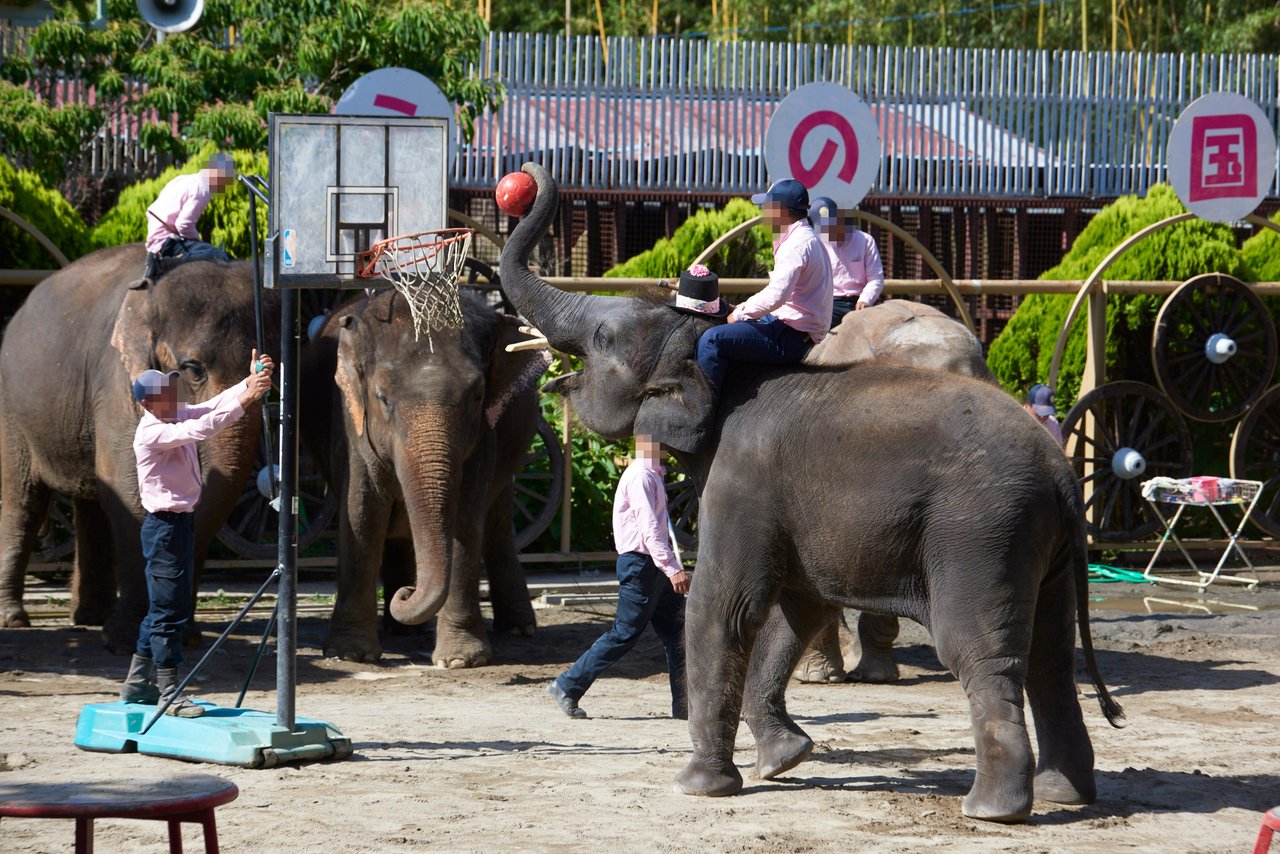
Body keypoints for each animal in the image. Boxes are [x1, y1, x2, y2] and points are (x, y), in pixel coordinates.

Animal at [0, 245, 276, 651]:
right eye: (192, 369)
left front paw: (183, 636)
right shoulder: (116, 379)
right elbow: (127, 483)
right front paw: (126, 640)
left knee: (91, 501)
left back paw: (90, 618)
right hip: (13, 409)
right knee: (24, 500)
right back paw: (16, 619)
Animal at [300, 288, 545, 667]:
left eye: (477, 395)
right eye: (383, 397)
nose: (408, 593)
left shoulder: (482, 437)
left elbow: (466, 520)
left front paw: (460, 660)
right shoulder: (351, 424)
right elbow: (361, 511)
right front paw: (351, 655)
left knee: (497, 523)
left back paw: (518, 629)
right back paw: (403, 630)